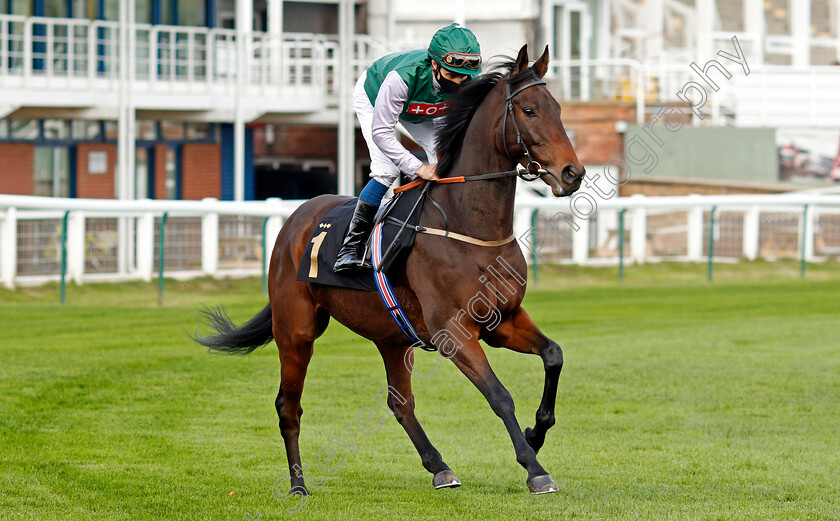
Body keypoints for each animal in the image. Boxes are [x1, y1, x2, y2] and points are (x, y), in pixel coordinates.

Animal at [197, 43, 584, 492]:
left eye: (557, 108)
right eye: (529, 110)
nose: (573, 173)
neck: (469, 225)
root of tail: (295, 219)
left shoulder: (501, 320)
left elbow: (554, 355)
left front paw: (536, 433)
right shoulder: (454, 331)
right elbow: (499, 394)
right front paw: (535, 468)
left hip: (392, 337)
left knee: (400, 403)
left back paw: (440, 466)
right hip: (295, 331)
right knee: (287, 406)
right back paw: (297, 485)